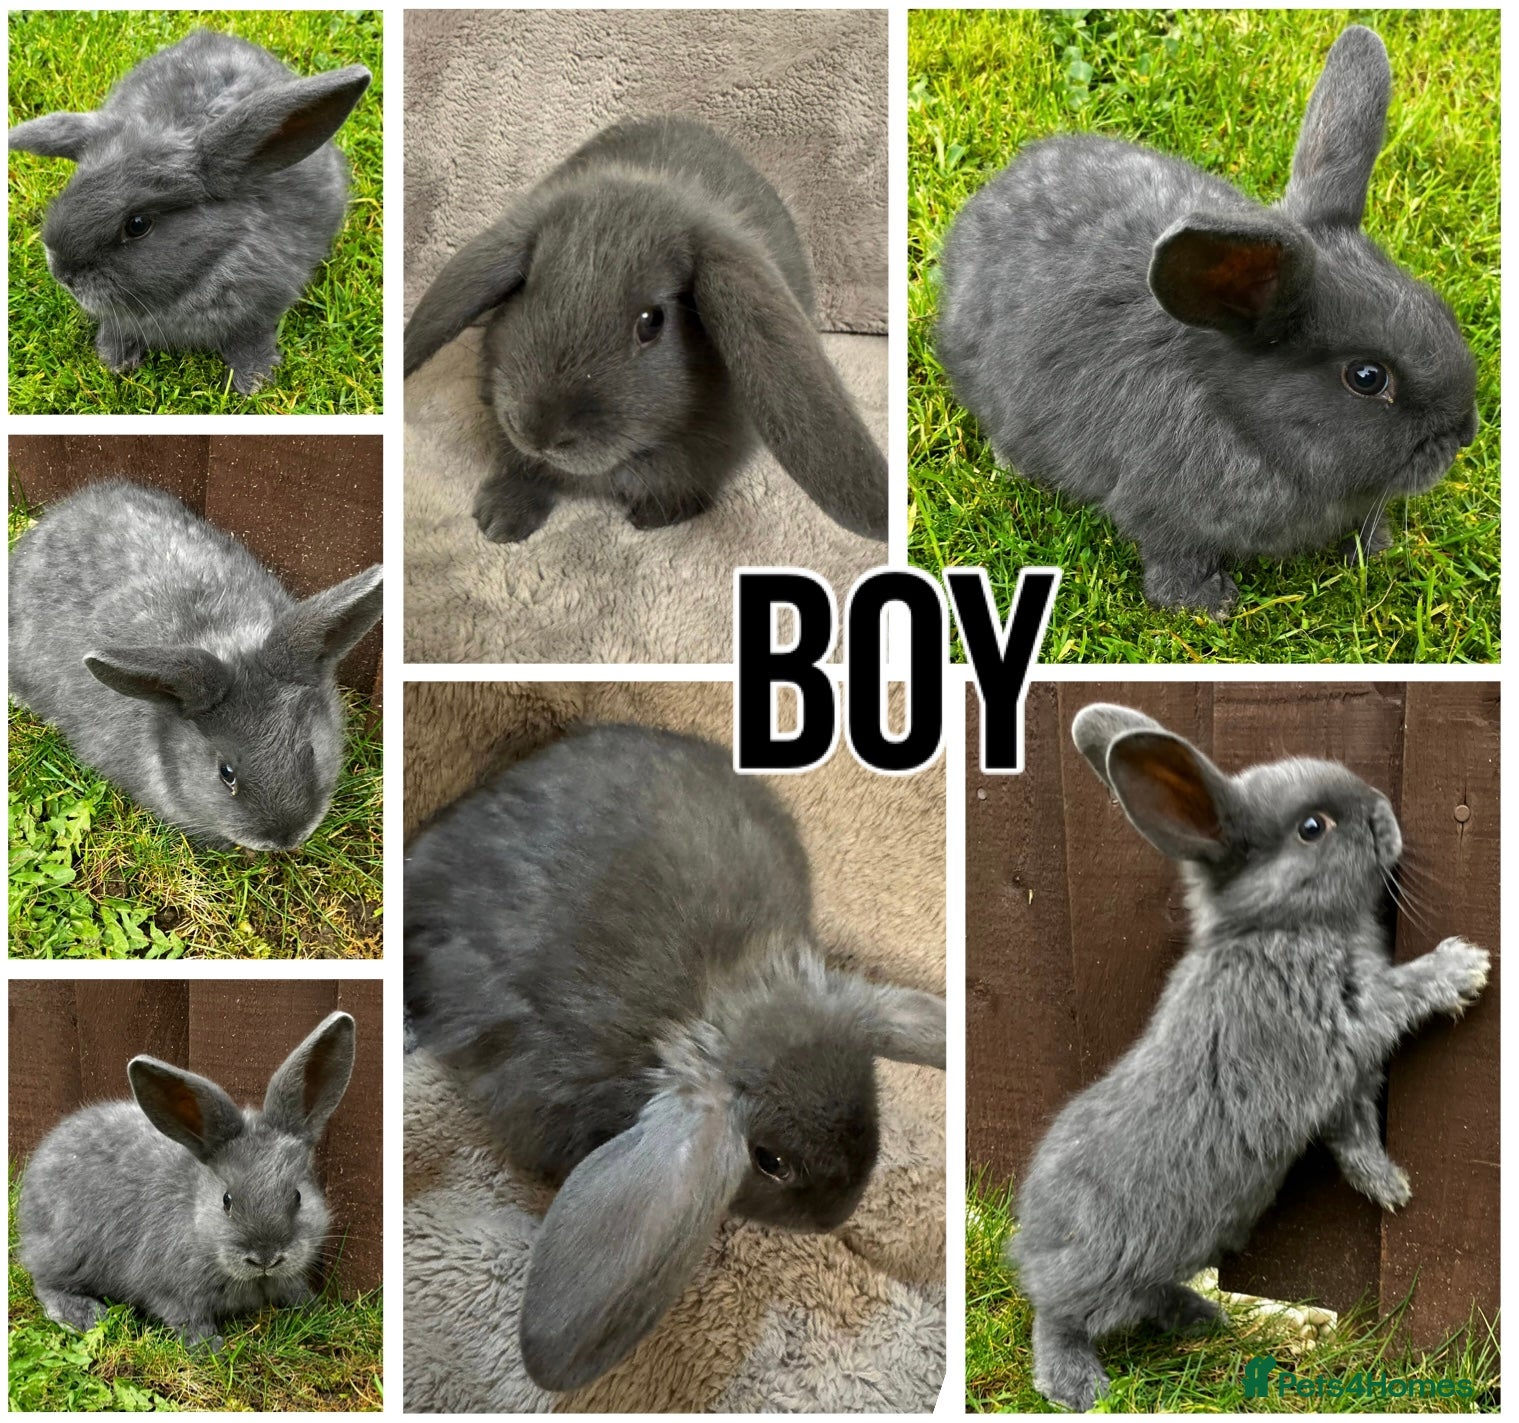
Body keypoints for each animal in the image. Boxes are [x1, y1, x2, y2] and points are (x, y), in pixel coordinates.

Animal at [8, 28, 371, 394]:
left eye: (138, 224)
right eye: (74, 185)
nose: (63, 274)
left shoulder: (260, 310)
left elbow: (250, 337)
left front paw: (253, 382)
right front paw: (115, 360)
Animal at [19, 1011, 355, 1352]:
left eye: (298, 1196)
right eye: (226, 1201)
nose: (265, 1257)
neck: (196, 1220)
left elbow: (295, 1290)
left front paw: (316, 1310)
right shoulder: (170, 1290)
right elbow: (186, 1318)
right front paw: (209, 1348)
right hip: (67, 1251)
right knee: (44, 1282)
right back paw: (83, 1314)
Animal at [403, 115, 888, 543]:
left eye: (652, 321)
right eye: (524, 287)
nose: (536, 433)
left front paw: (655, 517)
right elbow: (526, 472)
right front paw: (501, 519)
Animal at [937, 26, 1478, 618]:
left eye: (1436, 306)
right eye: (1367, 377)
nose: (1462, 435)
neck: (1241, 420)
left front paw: (1375, 546)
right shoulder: (1165, 514)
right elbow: (1174, 554)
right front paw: (1205, 605)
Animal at [1012, 703, 1492, 1411]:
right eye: (1313, 828)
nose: (1382, 811)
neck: (1278, 926)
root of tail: (1031, 1243)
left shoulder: (1342, 1087)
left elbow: (1354, 1140)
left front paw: (1389, 1188)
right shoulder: (1344, 1021)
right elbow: (1399, 996)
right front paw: (1463, 967)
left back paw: (1201, 1316)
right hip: (1104, 1270)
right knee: (1059, 1317)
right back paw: (1078, 1384)